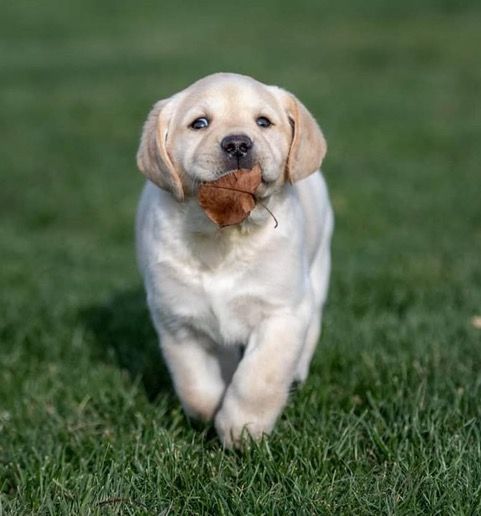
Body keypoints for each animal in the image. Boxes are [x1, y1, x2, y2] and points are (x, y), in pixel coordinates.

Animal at [133, 72, 332, 448]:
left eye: (263, 122)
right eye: (199, 123)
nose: (238, 144)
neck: (223, 235)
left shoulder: (282, 314)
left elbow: (259, 378)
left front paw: (242, 429)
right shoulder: (178, 322)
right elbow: (196, 385)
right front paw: (211, 414)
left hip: (318, 269)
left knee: (312, 322)